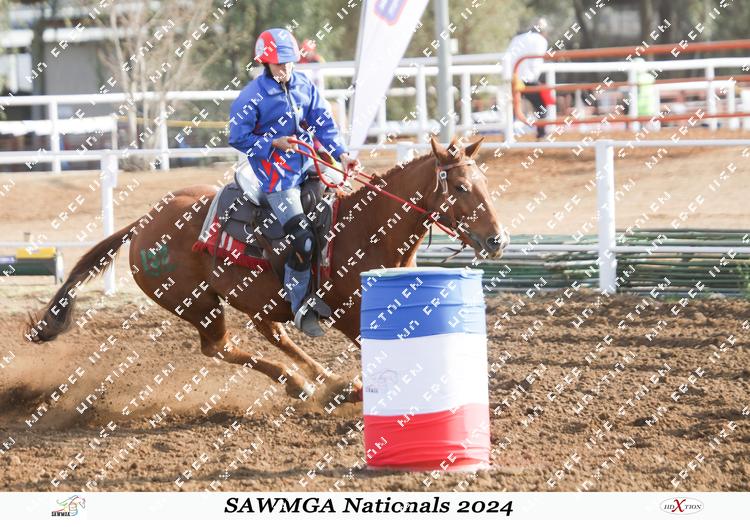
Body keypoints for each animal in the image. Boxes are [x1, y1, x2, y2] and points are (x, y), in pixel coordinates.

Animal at [25, 136, 509, 407]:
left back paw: (325, 383)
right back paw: (304, 384)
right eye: (460, 187)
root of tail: (143, 223)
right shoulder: (352, 315)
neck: (368, 229)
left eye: (485, 183)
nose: (497, 240)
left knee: (271, 334)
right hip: (196, 303)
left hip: (253, 298)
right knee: (220, 347)